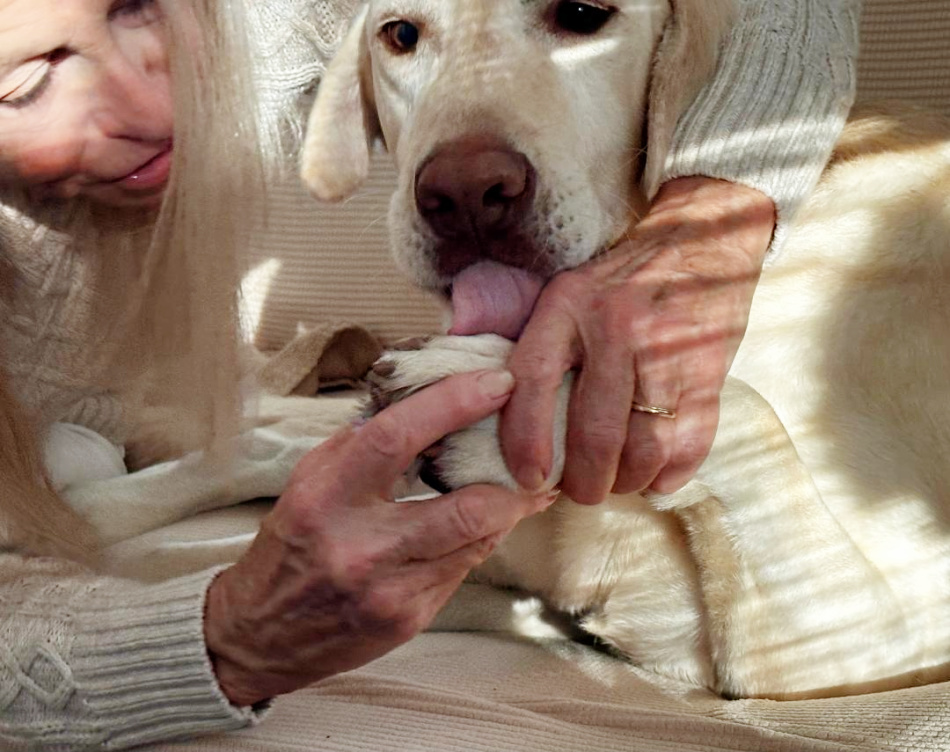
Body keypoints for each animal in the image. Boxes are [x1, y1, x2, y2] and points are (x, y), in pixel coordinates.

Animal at [300, 0, 950, 700]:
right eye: (402, 34)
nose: (465, 194)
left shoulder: (861, 643)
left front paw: (504, 408)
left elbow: (748, 413)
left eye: (583, 15)